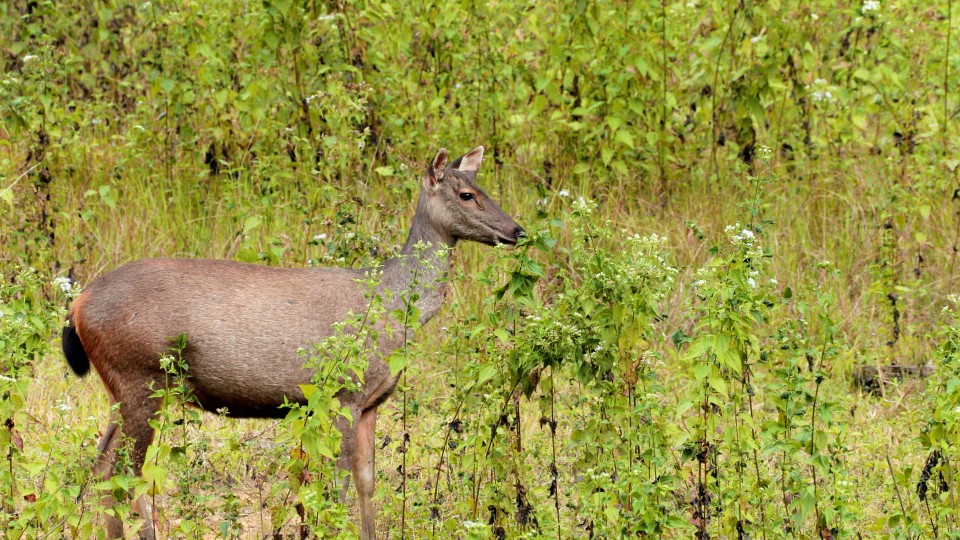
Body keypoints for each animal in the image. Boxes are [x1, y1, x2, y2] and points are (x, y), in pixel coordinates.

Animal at [60, 146, 524, 536]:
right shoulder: (342, 392)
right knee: (119, 472)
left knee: (104, 468)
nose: (517, 231)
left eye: (483, 188)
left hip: (126, 389)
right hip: (141, 377)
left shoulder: (372, 401)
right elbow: (334, 485)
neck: (393, 306)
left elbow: (366, 482)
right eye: (467, 194)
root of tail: (77, 305)